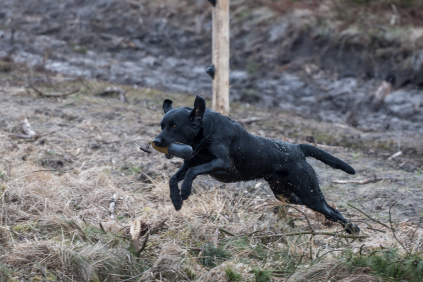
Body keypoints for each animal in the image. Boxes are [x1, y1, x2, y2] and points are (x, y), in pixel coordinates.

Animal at [154, 95, 360, 234]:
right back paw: (350, 228)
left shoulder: (222, 163)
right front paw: (176, 200)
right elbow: (173, 178)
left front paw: (185, 191)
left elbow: (192, 173)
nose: (156, 141)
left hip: (308, 192)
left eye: (174, 126)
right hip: (287, 194)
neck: (205, 132)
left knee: (329, 209)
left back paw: (353, 228)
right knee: (328, 208)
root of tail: (296, 148)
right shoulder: (188, 164)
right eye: (161, 125)